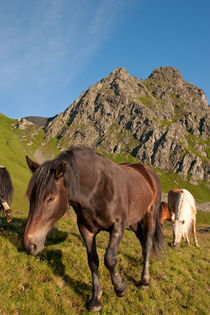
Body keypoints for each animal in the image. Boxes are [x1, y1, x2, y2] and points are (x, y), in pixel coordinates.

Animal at [23, 146, 164, 314]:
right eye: (30, 197)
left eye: (51, 198)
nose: (30, 245)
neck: (98, 188)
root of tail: (148, 172)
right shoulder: (86, 229)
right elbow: (93, 261)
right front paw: (96, 299)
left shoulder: (118, 226)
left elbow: (109, 259)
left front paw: (120, 287)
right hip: (134, 221)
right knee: (142, 242)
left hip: (150, 215)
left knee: (148, 245)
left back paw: (145, 280)